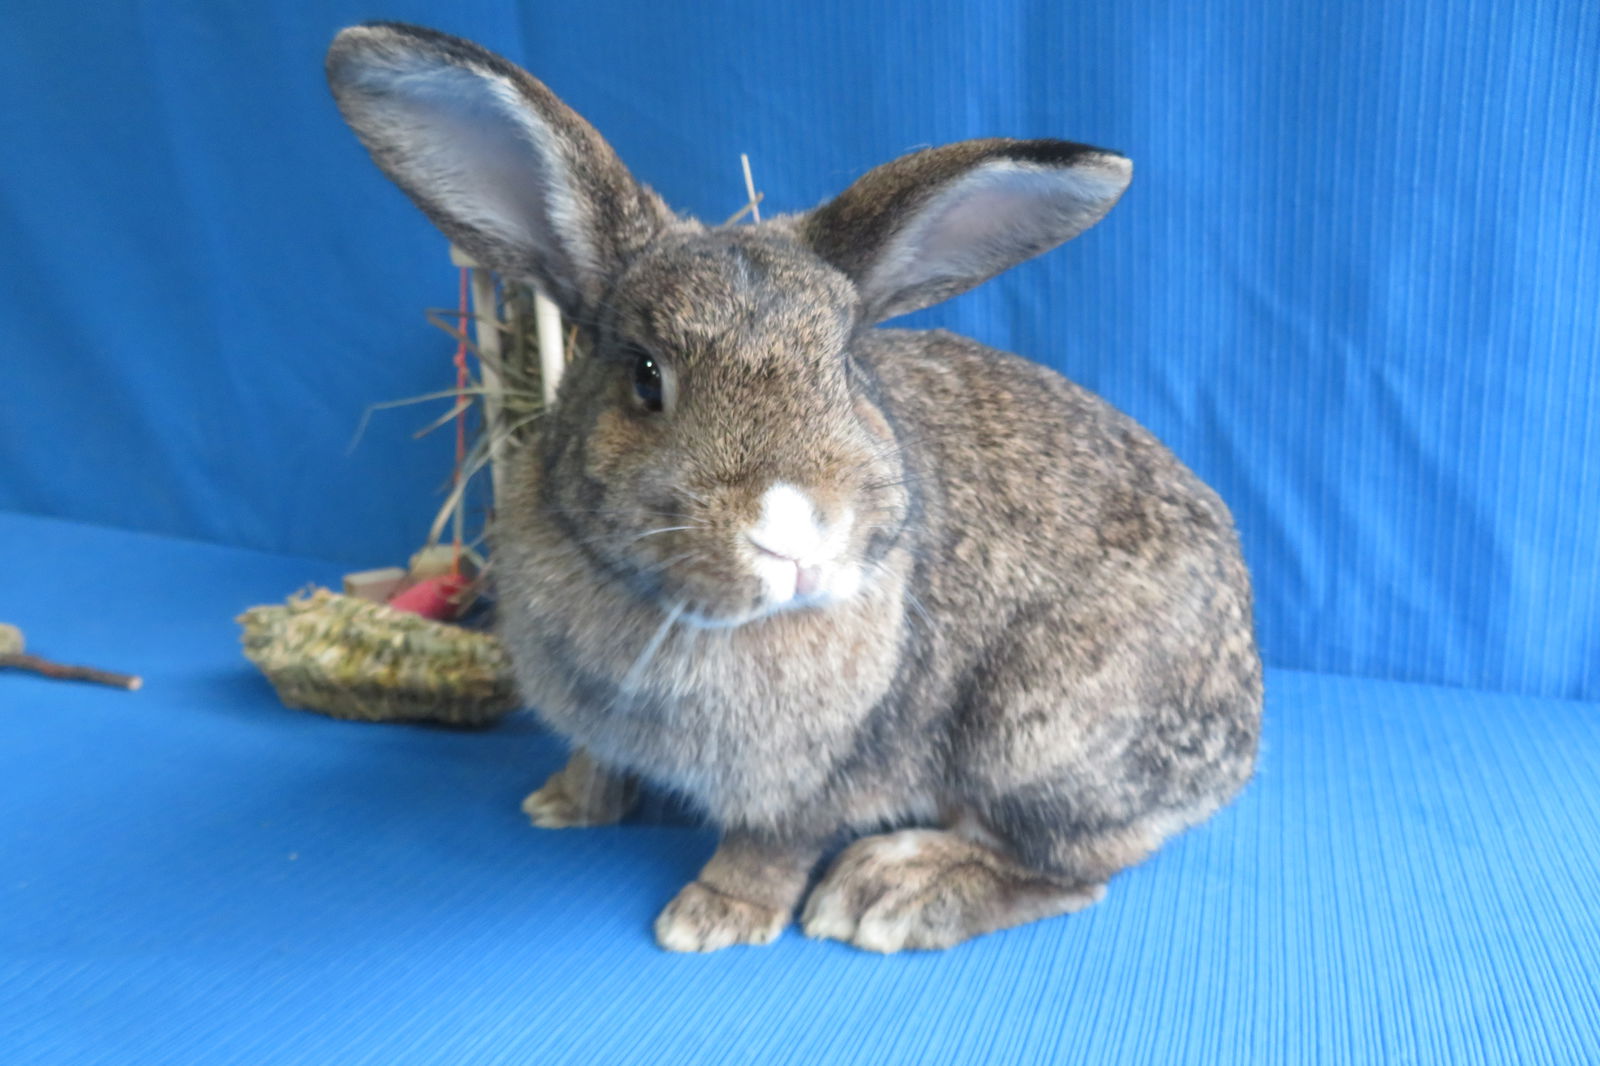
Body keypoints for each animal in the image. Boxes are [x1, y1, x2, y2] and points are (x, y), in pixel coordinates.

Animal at [328, 20, 1260, 947]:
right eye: (645, 376)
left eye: (845, 368)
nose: (796, 537)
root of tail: (1243, 741)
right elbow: (599, 760)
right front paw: (563, 803)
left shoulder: (826, 773)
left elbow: (775, 843)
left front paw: (712, 917)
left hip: (1036, 738)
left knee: (1070, 870)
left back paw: (889, 892)